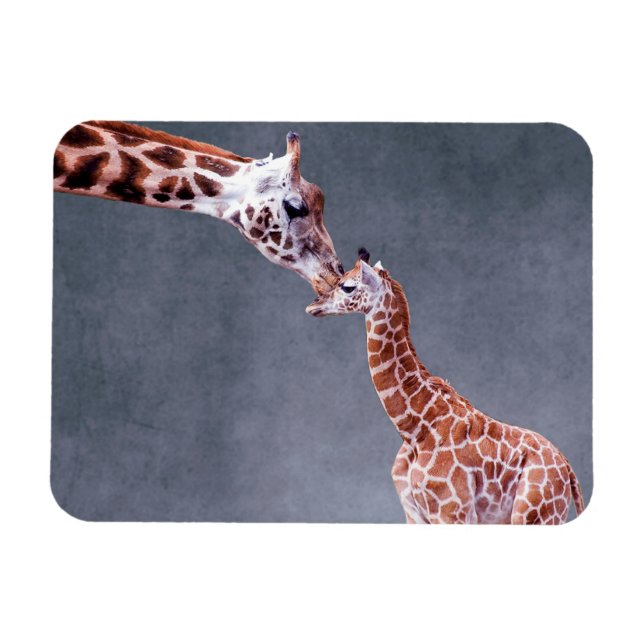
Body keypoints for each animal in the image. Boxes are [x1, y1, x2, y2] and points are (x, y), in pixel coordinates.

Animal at [306, 250, 585, 524]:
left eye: (348, 287)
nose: (313, 305)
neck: (414, 429)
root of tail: (568, 470)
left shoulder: (453, 511)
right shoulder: (413, 513)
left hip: (534, 515)